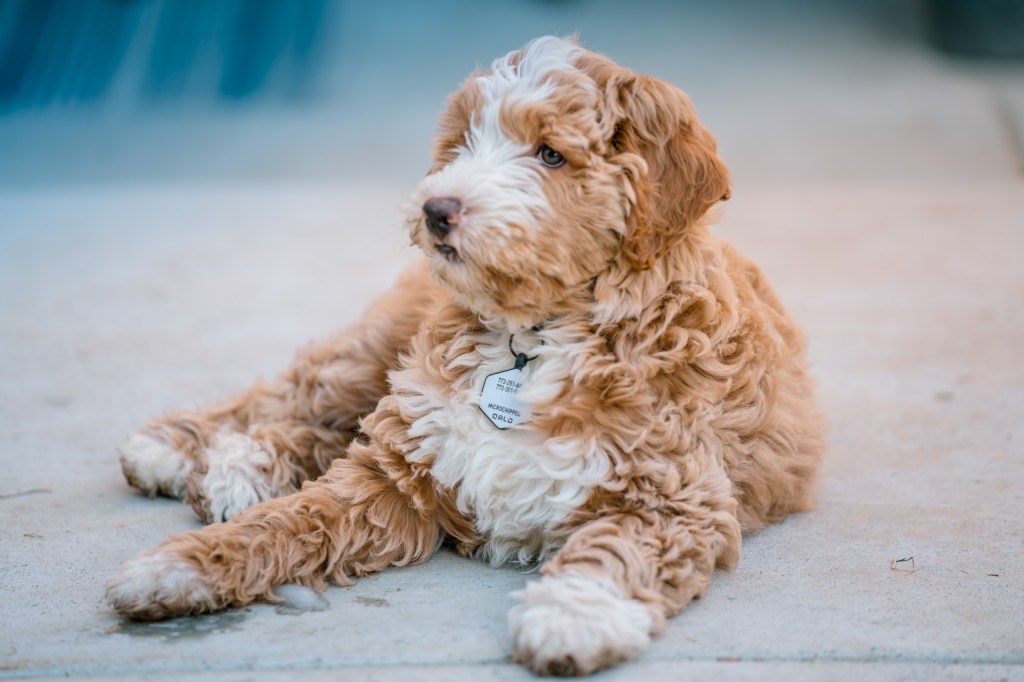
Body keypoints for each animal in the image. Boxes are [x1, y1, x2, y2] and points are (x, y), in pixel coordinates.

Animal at [105, 37, 823, 675]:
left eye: (551, 154)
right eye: (463, 144)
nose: (436, 208)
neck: (532, 335)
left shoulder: (674, 495)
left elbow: (620, 547)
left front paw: (572, 613)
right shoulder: (396, 470)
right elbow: (289, 522)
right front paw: (178, 566)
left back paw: (238, 466)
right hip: (382, 348)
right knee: (303, 395)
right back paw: (183, 450)